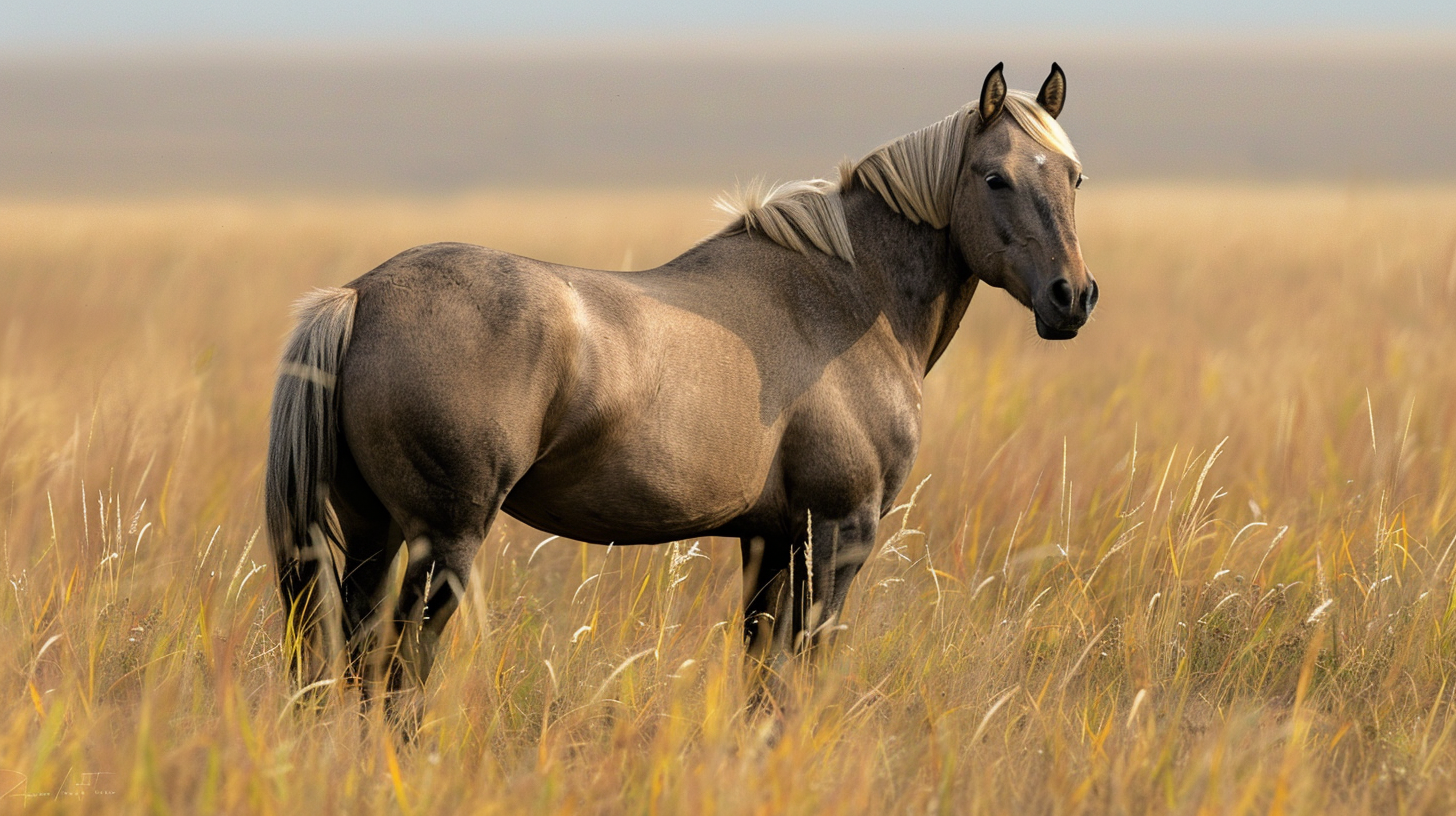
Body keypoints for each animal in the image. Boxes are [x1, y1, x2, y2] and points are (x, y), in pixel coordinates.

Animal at [265, 62, 1097, 719]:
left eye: (1074, 177)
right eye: (994, 177)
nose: (1072, 297)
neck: (846, 295)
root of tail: (361, 297)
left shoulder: (770, 542)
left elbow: (763, 678)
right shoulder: (837, 534)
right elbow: (801, 672)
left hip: (372, 532)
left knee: (357, 660)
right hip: (443, 541)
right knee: (398, 672)